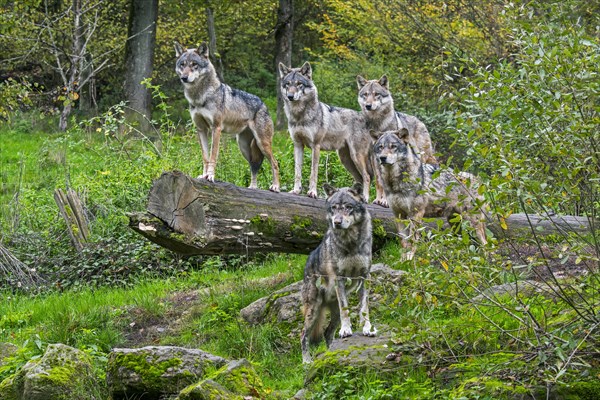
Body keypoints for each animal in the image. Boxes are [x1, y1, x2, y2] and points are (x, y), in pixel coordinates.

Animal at [176, 41, 282, 191]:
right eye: (182, 64)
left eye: (194, 64)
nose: (184, 78)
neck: (200, 97)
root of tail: (263, 104)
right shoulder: (201, 129)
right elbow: (205, 157)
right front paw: (203, 176)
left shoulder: (216, 128)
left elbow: (213, 156)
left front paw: (210, 176)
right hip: (244, 148)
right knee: (254, 166)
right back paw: (252, 188)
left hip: (262, 144)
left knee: (275, 163)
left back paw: (275, 187)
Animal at [280, 63, 386, 205]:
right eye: (288, 84)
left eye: (299, 84)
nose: (290, 96)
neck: (299, 115)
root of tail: (369, 122)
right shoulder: (297, 145)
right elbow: (297, 171)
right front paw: (296, 190)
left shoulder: (315, 146)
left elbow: (313, 172)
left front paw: (312, 192)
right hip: (346, 160)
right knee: (361, 179)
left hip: (357, 156)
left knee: (367, 177)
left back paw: (365, 198)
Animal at [300, 183, 376, 364]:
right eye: (334, 208)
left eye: (348, 207)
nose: (337, 222)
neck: (351, 242)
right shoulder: (339, 278)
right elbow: (345, 308)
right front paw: (346, 329)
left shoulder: (365, 277)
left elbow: (364, 307)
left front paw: (367, 328)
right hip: (313, 311)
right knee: (303, 335)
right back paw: (307, 362)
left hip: (331, 315)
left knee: (327, 333)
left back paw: (330, 355)